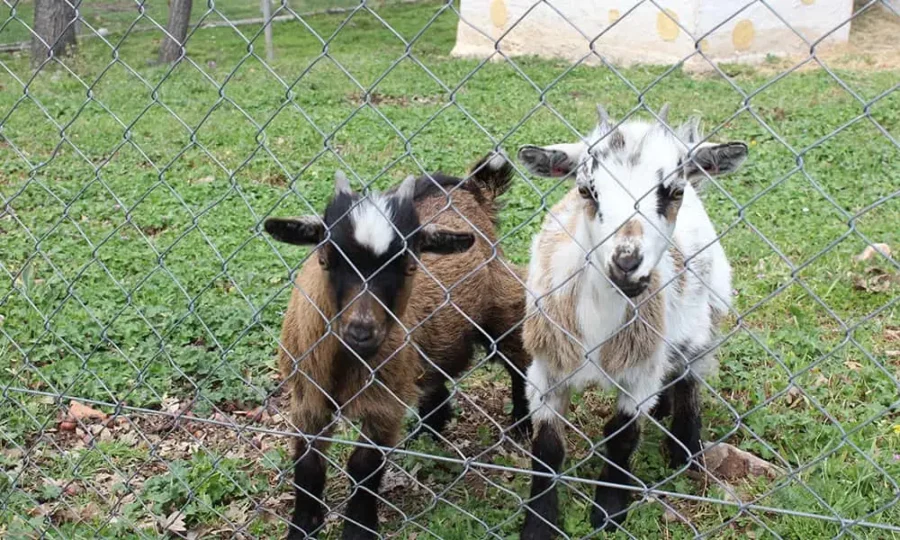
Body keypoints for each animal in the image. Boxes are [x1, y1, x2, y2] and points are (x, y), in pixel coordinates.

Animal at [263, 152, 531, 540]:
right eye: (325, 258)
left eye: (409, 264)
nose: (362, 331)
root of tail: (470, 189)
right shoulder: (306, 394)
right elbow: (308, 463)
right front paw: (302, 527)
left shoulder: (383, 403)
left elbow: (364, 467)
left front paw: (358, 530)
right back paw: (432, 426)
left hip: (501, 306)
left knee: (518, 362)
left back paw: (523, 424)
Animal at [515, 104, 748, 537]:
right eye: (586, 190)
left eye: (673, 191)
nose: (626, 263)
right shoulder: (546, 368)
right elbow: (548, 447)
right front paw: (539, 522)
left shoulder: (640, 373)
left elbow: (621, 436)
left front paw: (608, 510)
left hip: (706, 314)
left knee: (690, 377)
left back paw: (686, 450)